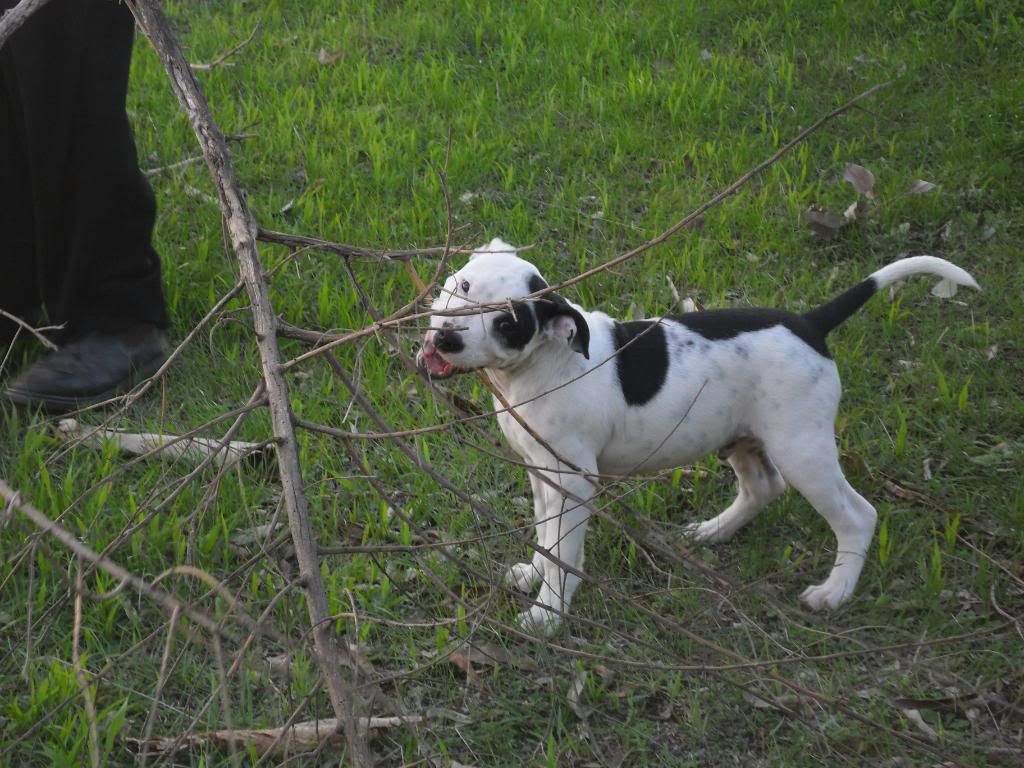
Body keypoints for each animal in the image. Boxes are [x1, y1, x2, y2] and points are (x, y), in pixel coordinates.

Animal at [417, 237, 983, 634]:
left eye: (507, 323)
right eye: (463, 288)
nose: (446, 339)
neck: (541, 365)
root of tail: (808, 324)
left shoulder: (573, 481)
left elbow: (564, 551)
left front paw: (548, 614)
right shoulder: (542, 473)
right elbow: (545, 537)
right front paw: (534, 573)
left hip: (802, 449)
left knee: (857, 515)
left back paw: (835, 590)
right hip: (742, 436)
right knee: (763, 487)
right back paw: (715, 530)